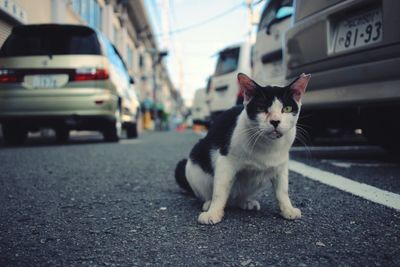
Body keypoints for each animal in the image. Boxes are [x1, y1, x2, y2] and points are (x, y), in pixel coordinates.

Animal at [177, 72, 310, 225]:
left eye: (287, 109)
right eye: (261, 109)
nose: (275, 121)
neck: (267, 145)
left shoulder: (281, 166)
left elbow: (282, 190)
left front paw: (288, 209)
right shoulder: (225, 162)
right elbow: (220, 191)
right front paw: (213, 212)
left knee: (239, 197)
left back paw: (246, 202)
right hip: (193, 166)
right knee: (210, 193)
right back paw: (208, 203)